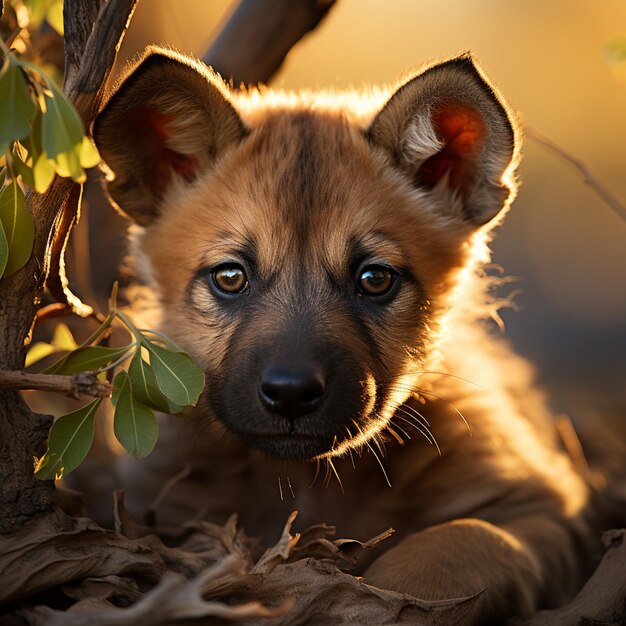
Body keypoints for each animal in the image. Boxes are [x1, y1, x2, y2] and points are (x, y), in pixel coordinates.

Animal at [91, 47, 596, 620]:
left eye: (374, 279)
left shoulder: (544, 504)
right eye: (230, 277)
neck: (307, 484)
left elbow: (453, 543)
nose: (290, 394)